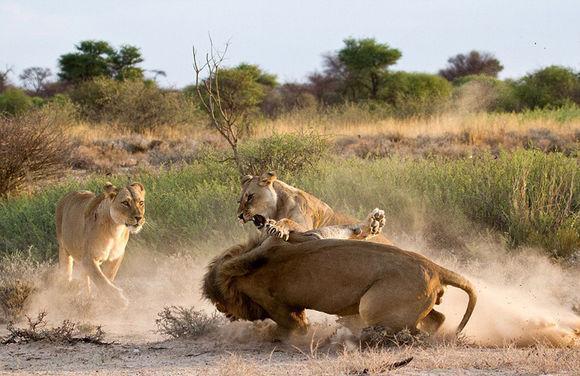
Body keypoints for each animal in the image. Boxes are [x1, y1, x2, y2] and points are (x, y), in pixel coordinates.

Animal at [204, 214, 476, 338]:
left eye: (220, 304)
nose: (223, 312)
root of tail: (434, 266)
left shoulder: (280, 308)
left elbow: (295, 329)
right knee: (437, 319)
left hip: (370, 306)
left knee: (408, 330)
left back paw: (359, 334)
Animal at [236, 170, 390, 244]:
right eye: (239, 201)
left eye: (250, 197)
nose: (239, 216)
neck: (279, 207)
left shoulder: (307, 229)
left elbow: (288, 221)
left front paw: (278, 227)